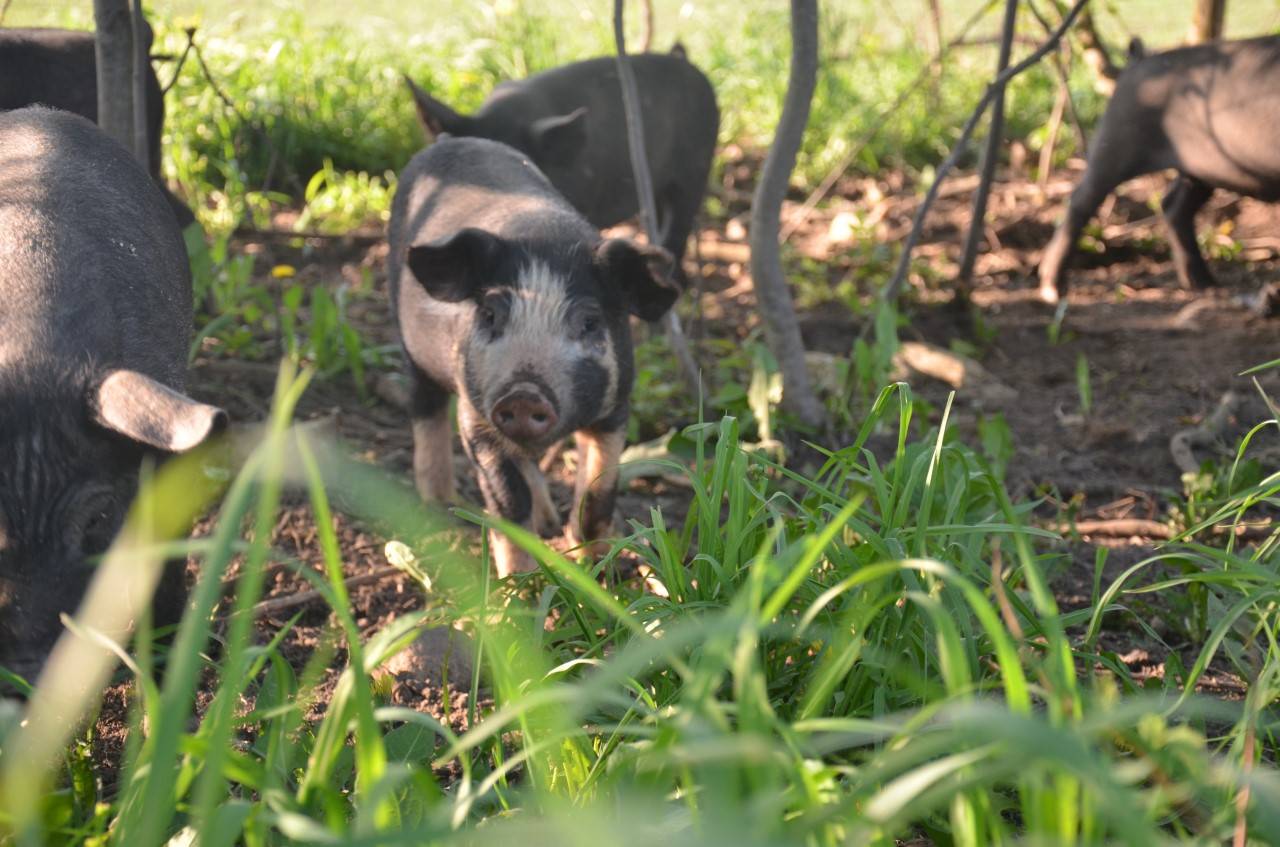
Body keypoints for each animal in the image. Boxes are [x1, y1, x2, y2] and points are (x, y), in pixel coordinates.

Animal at [1044, 37, 1280, 308]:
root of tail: (1137, 59)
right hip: (1115, 143)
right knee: (1082, 199)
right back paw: (1052, 288)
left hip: (1199, 171)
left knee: (1174, 206)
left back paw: (1203, 284)